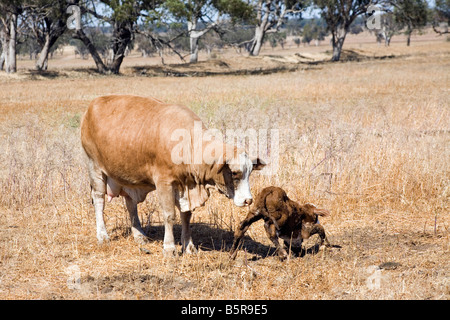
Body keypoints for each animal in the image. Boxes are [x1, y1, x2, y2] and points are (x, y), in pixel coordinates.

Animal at [80, 94, 264, 255]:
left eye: (249, 172)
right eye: (234, 173)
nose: (248, 200)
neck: (188, 144)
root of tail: (92, 106)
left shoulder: (186, 185)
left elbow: (186, 216)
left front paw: (189, 246)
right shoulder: (164, 183)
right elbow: (169, 215)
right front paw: (169, 248)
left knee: (131, 203)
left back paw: (139, 235)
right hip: (94, 167)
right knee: (99, 200)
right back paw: (102, 235)